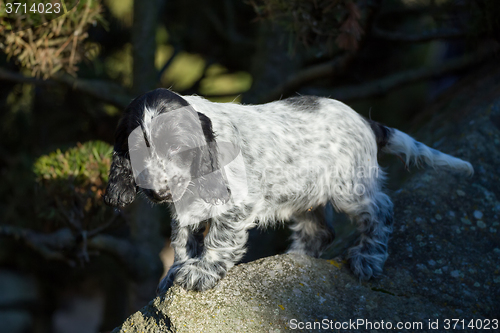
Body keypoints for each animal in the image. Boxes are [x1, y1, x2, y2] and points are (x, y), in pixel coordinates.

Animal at [104, 88, 472, 294]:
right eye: (136, 151)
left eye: (177, 148)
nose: (158, 192)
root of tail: (364, 121)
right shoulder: (186, 203)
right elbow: (183, 239)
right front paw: (176, 270)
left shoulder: (236, 204)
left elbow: (218, 240)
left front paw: (201, 272)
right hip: (305, 197)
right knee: (320, 231)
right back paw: (293, 262)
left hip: (349, 188)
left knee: (380, 210)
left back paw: (367, 257)